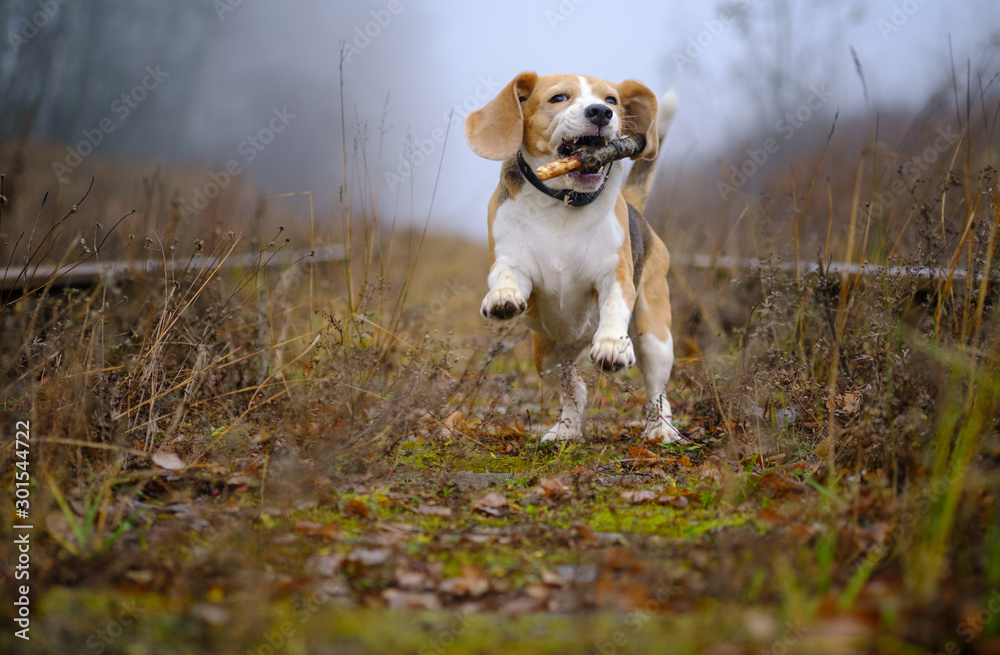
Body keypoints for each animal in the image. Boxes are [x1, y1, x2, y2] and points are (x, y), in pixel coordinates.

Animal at [466, 72, 684, 444]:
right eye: (558, 98)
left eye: (611, 100)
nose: (600, 112)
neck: (564, 202)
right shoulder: (513, 261)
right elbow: (506, 275)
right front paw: (502, 297)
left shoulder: (615, 277)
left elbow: (613, 306)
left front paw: (611, 344)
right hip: (546, 356)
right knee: (574, 388)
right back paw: (565, 431)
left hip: (654, 337)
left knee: (657, 390)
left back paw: (661, 429)